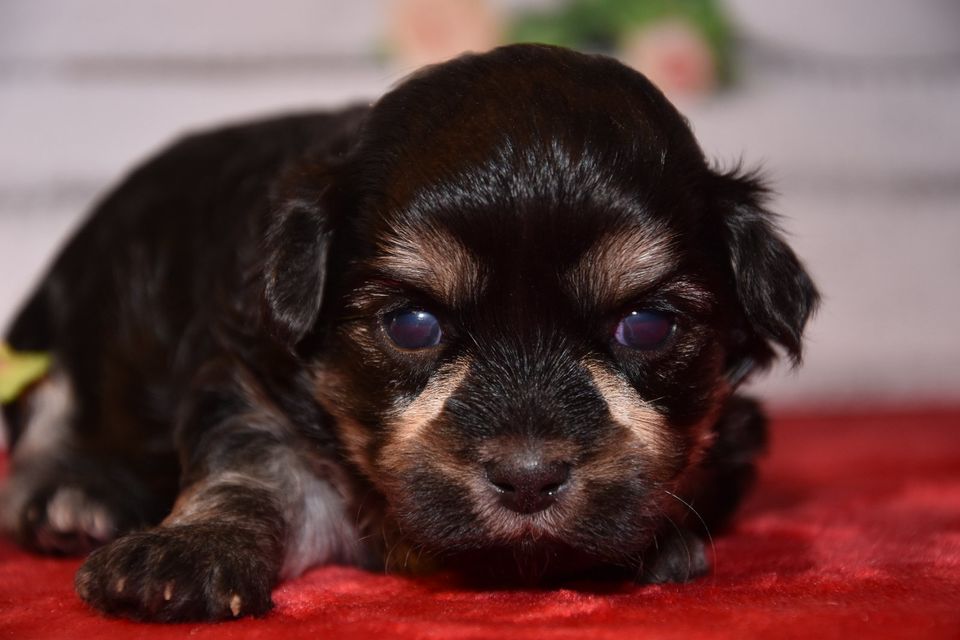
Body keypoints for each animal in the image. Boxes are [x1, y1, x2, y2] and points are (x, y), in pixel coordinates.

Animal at [3, 43, 820, 620]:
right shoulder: (250, 383)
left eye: (646, 326)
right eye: (413, 325)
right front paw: (187, 553)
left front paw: (657, 540)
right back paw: (70, 498)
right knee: (47, 414)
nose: (528, 478)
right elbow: (249, 477)